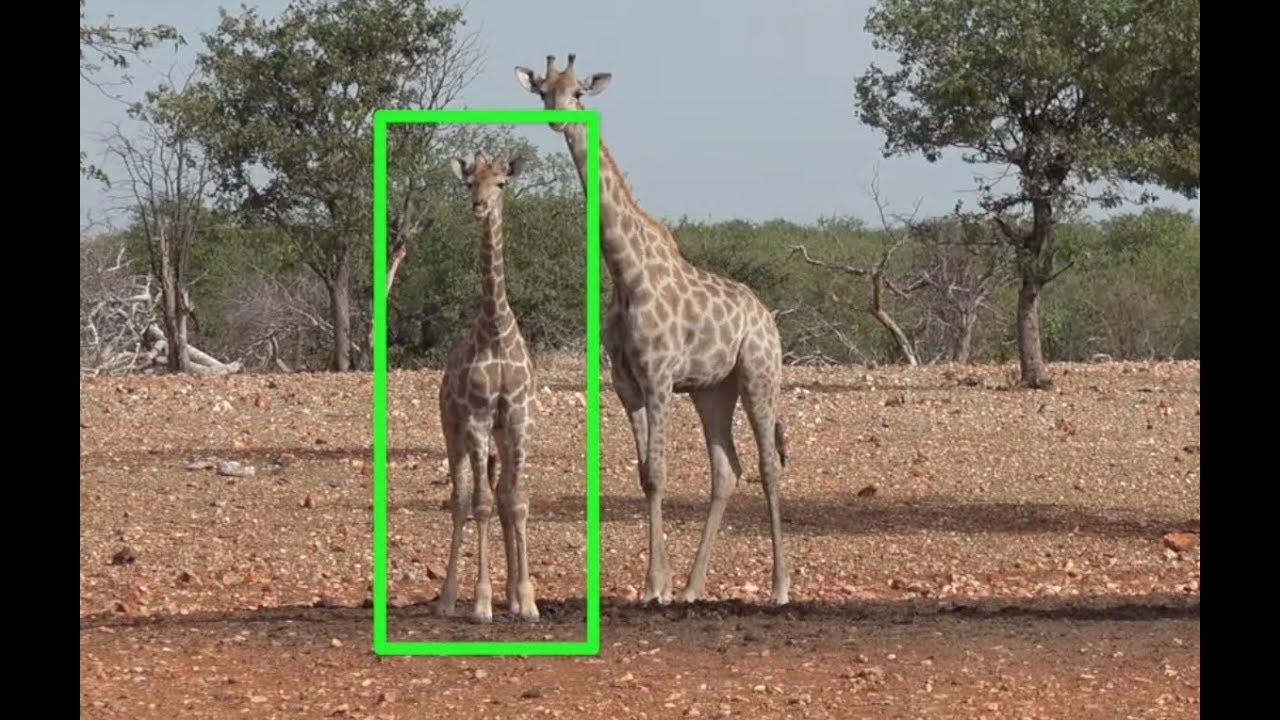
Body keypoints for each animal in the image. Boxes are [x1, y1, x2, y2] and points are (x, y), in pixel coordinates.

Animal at [515, 54, 790, 606]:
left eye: (578, 92)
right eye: (543, 91)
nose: (557, 119)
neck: (626, 274)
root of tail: (766, 316)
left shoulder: (660, 378)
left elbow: (660, 475)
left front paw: (653, 586)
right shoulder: (627, 385)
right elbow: (645, 476)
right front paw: (658, 585)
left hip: (758, 374)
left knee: (767, 466)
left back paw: (779, 587)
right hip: (713, 389)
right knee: (727, 470)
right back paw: (693, 587)